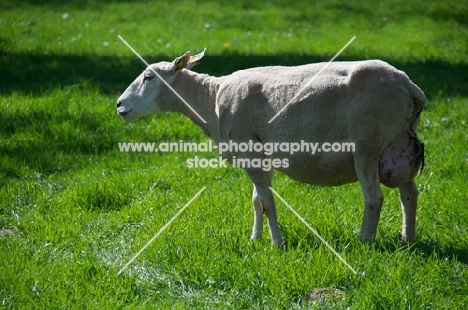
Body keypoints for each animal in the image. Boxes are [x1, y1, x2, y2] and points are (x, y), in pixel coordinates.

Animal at [116, 51, 424, 249]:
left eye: (148, 77)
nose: (119, 105)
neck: (210, 99)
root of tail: (409, 86)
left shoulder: (250, 151)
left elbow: (267, 203)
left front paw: (277, 244)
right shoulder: (260, 157)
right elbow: (256, 201)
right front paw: (255, 240)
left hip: (367, 144)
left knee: (374, 197)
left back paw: (365, 240)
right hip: (399, 145)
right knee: (409, 193)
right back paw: (407, 239)